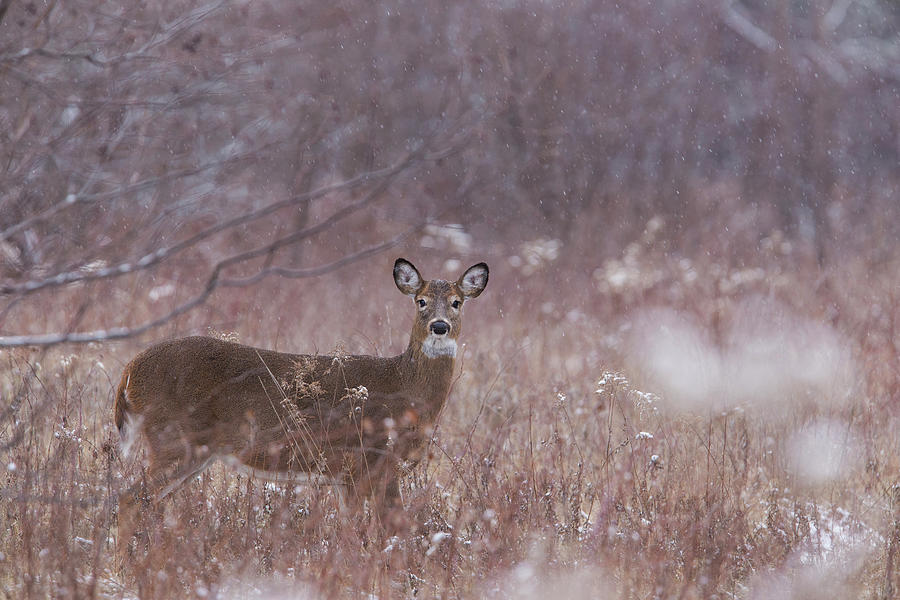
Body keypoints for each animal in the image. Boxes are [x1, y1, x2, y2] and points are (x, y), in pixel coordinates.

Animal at [115, 258, 488, 556]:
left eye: (457, 302)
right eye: (420, 301)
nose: (439, 326)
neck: (404, 389)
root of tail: (130, 369)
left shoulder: (365, 470)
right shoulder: (361, 459)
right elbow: (368, 530)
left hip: (194, 450)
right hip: (172, 438)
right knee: (129, 499)